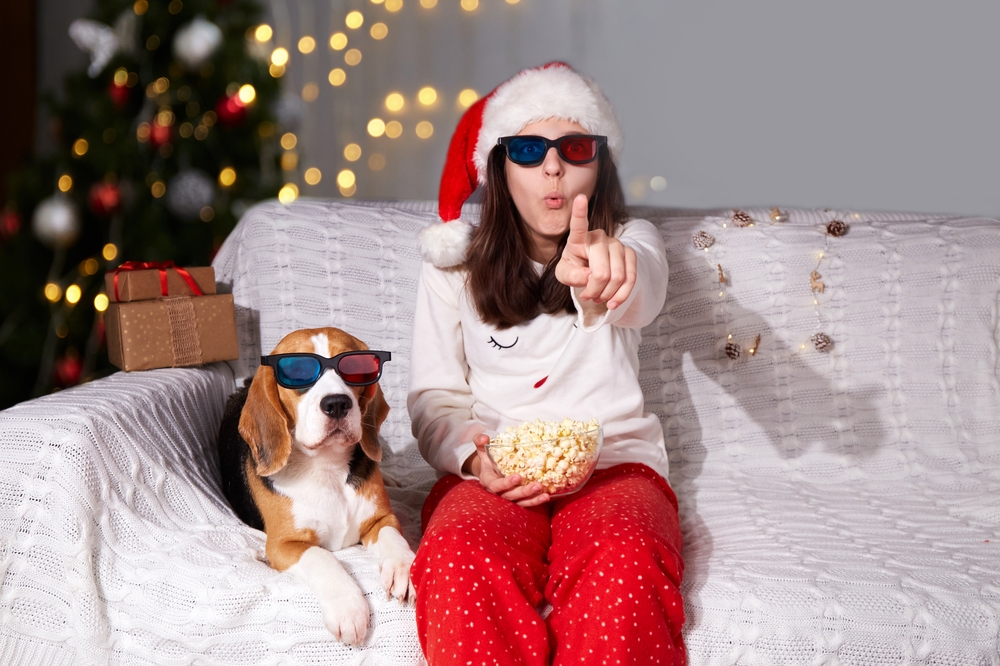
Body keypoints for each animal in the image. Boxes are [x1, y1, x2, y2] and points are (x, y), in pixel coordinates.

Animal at [218, 326, 414, 644]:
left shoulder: (382, 519)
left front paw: (403, 567)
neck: (327, 467)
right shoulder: (283, 545)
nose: (337, 403)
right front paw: (348, 607)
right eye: (297, 372)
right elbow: (322, 557)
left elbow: (394, 538)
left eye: (356, 368)